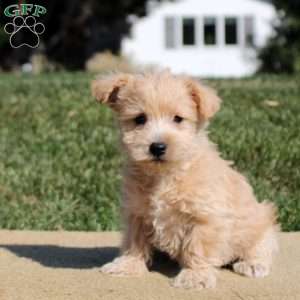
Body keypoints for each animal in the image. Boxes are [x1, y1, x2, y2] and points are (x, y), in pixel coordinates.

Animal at [91, 71, 278, 290]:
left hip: (260, 219)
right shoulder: (136, 212)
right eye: (139, 119)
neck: (166, 175)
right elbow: (134, 241)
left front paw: (195, 276)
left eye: (178, 119)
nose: (157, 147)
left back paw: (253, 264)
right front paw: (128, 265)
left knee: (264, 245)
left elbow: (197, 248)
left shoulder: (205, 217)